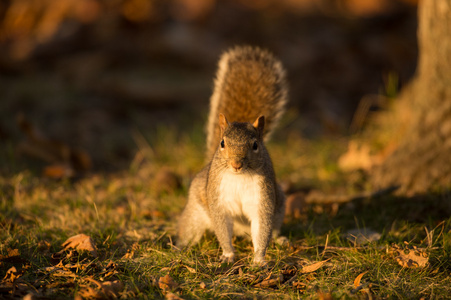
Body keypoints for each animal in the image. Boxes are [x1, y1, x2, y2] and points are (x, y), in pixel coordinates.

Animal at [177, 45, 290, 264]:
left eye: (255, 145)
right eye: (222, 143)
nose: (236, 164)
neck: (239, 177)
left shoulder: (262, 200)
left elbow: (262, 229)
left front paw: (259, 259)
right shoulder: (218, 200)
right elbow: (221, 227)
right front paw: (228, 255)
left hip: (279, 208)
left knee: (272, 230)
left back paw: (280, 240)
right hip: (195, 212)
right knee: (190, 228)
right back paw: (181, 246)